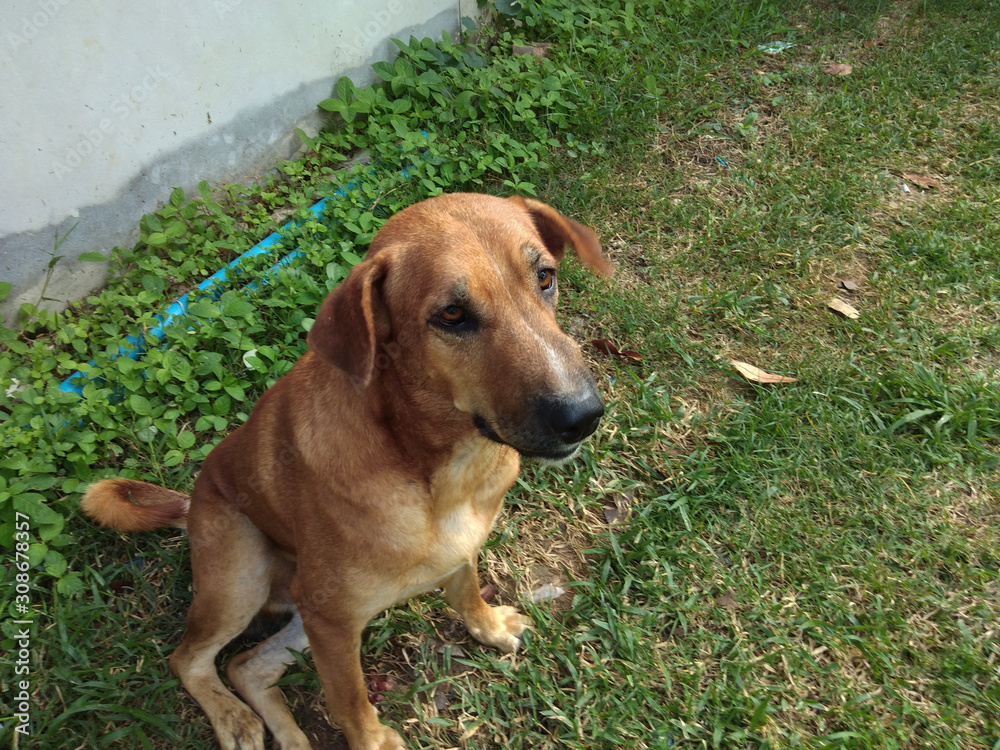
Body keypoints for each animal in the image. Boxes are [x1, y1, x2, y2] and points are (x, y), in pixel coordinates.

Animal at [82, 195, 608, 750]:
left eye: (545, 276)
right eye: (452, 314)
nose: (583, 416)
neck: (435, 468)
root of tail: (192, 502)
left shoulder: (452, 553)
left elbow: (466, 589)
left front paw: (488, 626)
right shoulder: (331, 622)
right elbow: (349, 699)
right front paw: (373, 740)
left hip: (301, 610)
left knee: (247, 667)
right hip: (243, 578)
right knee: (188, 659)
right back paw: (232, 719)